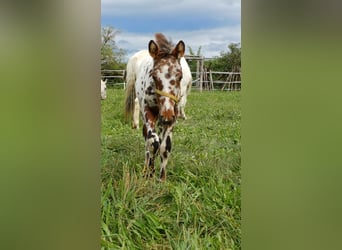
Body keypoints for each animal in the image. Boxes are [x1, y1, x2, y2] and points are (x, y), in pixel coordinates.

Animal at [125, 33, 186, 182]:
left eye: (180, 76)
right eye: (153, 75)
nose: (167, 115)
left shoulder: (173, 116)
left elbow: (165, 146)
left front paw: (162, 178)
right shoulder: (149, 112)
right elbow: (153, 142)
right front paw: (150, 174)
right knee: (147, 139)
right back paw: (146, 166)